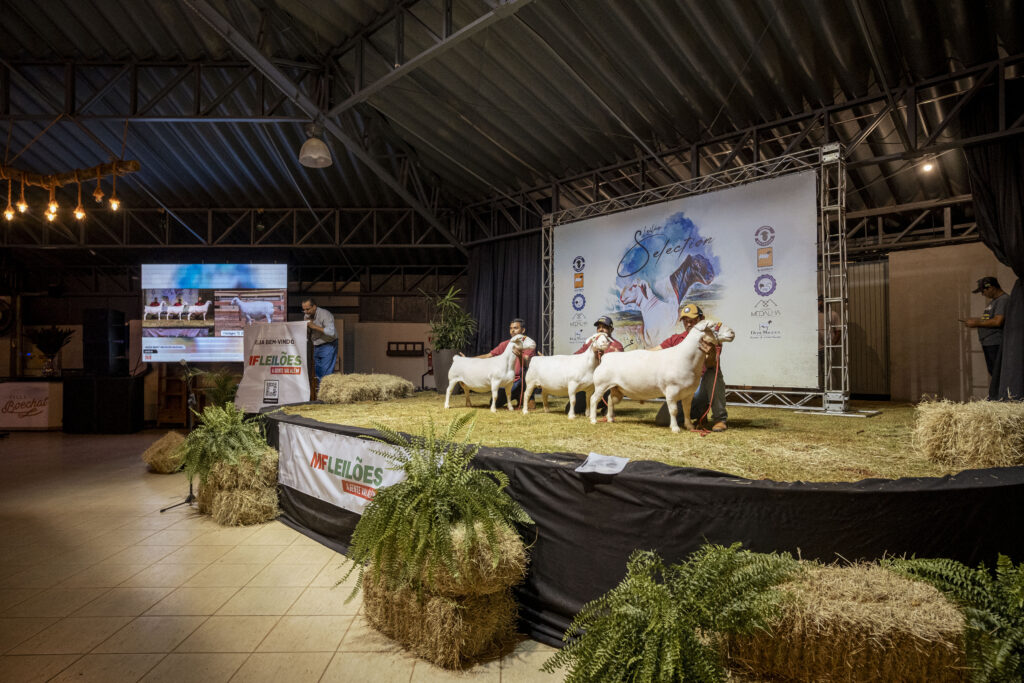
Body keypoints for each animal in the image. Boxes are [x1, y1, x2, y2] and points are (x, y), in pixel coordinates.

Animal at [138, 264, 286, 362]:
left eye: (234, 300)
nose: (230, 304)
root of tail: (272, 304)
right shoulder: (247, 316)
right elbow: (248, 322)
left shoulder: (248, 315)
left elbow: (249, 322)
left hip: (268, 315)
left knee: (270, 322)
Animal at [585, 321, 737, 432]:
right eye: (714, 326)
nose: (732, 332)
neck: (687, 358)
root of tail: (606, 357)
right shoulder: (671, 390)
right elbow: (674, 410)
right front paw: (675, 428)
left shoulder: (689, 393)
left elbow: (687, 410)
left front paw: (689, 426)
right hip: (601, 385)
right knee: (593, 399)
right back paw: (593, 420)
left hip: (617, 388)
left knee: (610, 400)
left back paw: (610, 419)